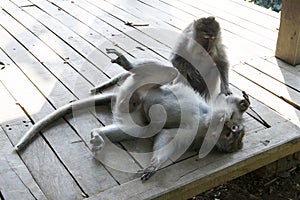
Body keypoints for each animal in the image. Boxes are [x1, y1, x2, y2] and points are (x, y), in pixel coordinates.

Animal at [16, 49, 251, 180]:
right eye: (232, 129)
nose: (229, 127)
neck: (206, 125)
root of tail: (133, 97)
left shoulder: (195, 134)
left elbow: (167, 139)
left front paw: (154, 165)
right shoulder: (213, 115)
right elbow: (225, 103)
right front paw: (243, 103)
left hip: (129, 106)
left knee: (139, 129)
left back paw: (98, 135)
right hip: (142, 86)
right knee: (170, 73)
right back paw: (127, 64)